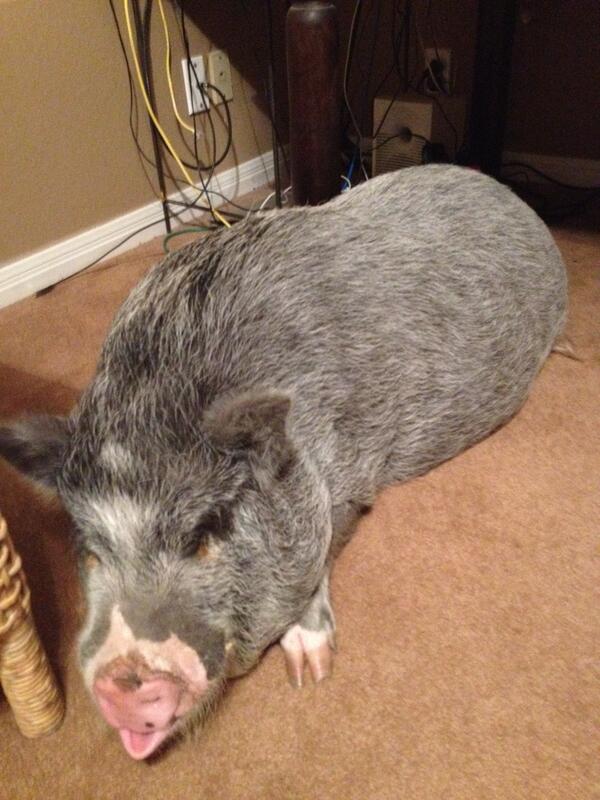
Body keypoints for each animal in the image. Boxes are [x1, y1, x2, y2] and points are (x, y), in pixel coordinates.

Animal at [0, 165, 567, 759]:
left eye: (205, 532)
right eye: (89, 551)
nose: (125, 681)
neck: (159, 395)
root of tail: (513, 199)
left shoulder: (349, 472)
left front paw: (308, 673)